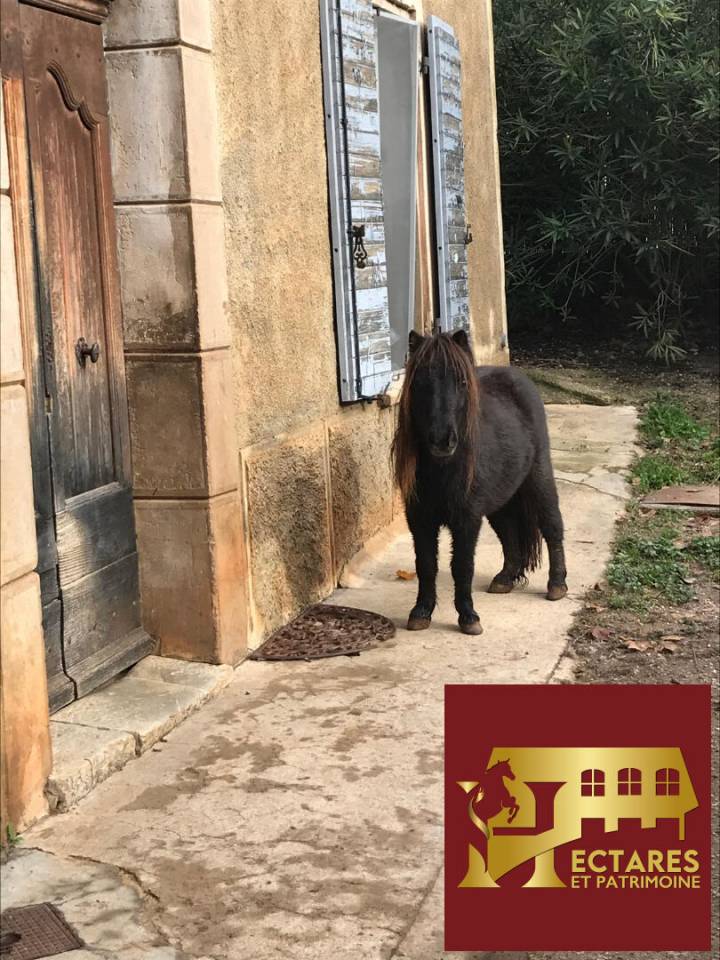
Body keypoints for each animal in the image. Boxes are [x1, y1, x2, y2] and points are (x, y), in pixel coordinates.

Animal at [391, 329, 567, 635]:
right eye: (420, 382)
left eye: (461, 382)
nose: (442, 440)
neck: (442, 470)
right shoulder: (420, 519)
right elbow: (426, 564)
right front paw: (421, 612)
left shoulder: (467, 519)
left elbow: (462, 566)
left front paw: (468, 617)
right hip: (500, 499)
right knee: (509, 532)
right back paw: (505, 579)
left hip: (538, 478)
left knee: (551, 525)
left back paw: (557, 585)